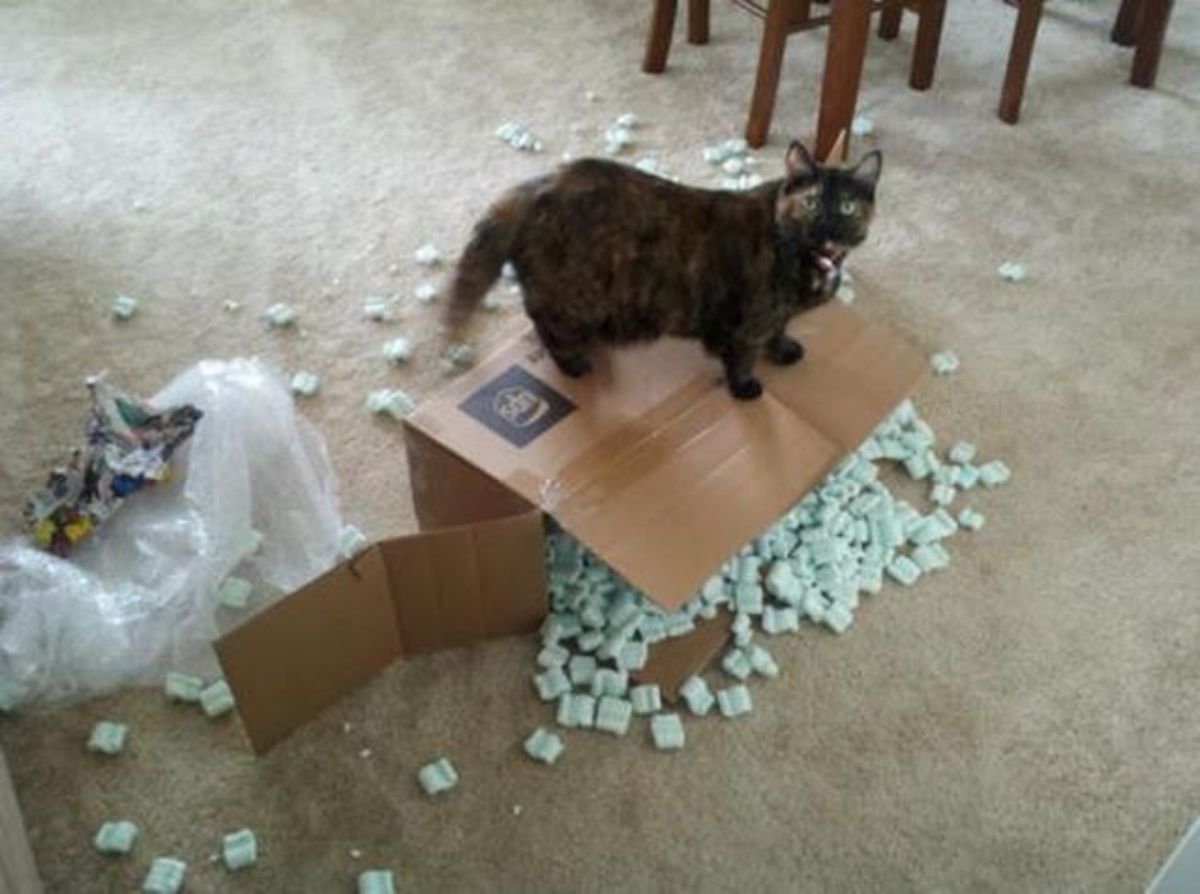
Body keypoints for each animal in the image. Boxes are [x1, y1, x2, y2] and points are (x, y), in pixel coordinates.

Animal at [446, 141, 878, 398]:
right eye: (810, 203)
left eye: (847, 207)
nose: (827, 227)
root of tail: (538, 186)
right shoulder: (749, 322)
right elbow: (743, 356)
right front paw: (745, 388)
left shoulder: (777, 315)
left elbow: (779, 331)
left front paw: (785, 350)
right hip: (572, 298)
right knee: (544, 322)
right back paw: (574, 364)